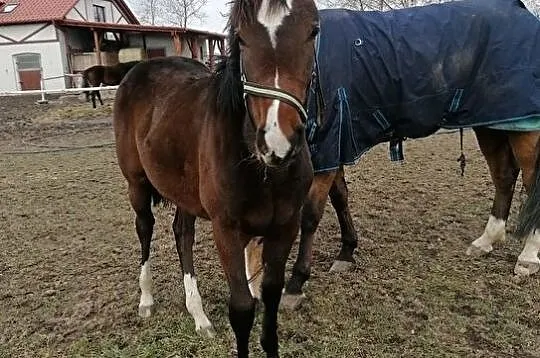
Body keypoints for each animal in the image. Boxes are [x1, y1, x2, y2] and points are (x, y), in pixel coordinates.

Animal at [112, 0, 318, 356]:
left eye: (314, 31)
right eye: (242, 38)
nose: (277, 141)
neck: (263, 171)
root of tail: (139, 69)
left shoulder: (285, 227)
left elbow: (271, 299)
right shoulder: (227, 230)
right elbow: (242, 308)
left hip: (184, 193)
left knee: (182, 234)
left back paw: (198, 314)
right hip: (136, 184)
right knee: (144, 229)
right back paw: (147, 300)